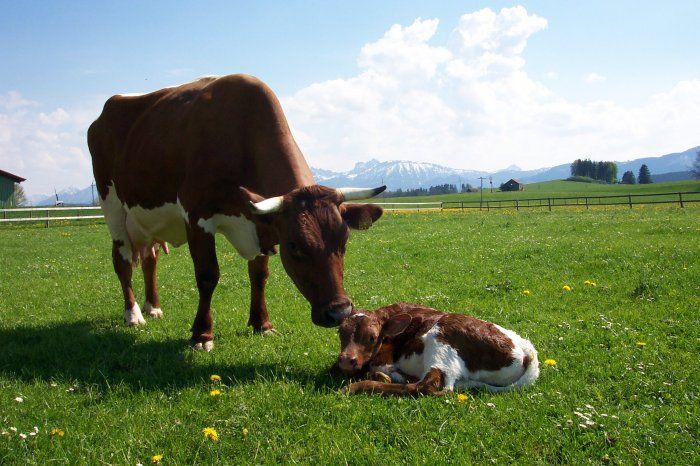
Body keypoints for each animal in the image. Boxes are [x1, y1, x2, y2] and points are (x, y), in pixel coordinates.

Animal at [87, 73, 386, 350]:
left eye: (344, 242)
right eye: (295, 247)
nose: (339, 312)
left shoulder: (261, 221)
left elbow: (259, 275)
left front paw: (262, 324)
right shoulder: (196, 216)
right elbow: (207, 276)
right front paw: (202, 334)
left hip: (148, 221)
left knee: (150, 259)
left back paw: (153, 307)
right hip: (112, 207)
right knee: (122, 260)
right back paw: (133, 314)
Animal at [336, 302, 540, 396]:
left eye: (371, 337)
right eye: (340, 333)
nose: (346, 360)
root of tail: (526, 350)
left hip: (441, 341)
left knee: (427, 385)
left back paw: (355, 386)